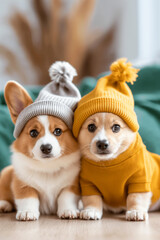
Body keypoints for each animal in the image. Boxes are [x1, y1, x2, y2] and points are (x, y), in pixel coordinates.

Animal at [0, 61, 81, 220]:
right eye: (33, 132)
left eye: (58, 131)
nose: (46, 148)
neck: (47, 167)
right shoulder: (22, 184)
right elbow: (28, 198)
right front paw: (27, 213)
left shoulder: (72, 185)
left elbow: (66, 196)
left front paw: (68, 211)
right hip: (5, 174)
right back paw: (4, 205)